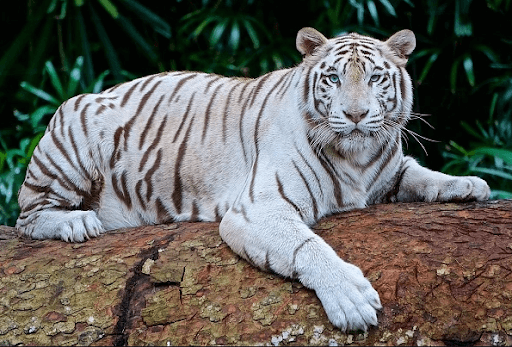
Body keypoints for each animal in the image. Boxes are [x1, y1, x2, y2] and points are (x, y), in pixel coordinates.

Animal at [16, 27, 490, 332]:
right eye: (333, 77)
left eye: (375, 77)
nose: (355, 115)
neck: (358, 158)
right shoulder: (260, 207)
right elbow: (307, 246)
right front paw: (352, 300)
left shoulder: (389, 171)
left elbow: (421, 174)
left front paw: (469, 184)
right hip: (73, 135)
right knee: (27, 217)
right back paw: (77, 222)